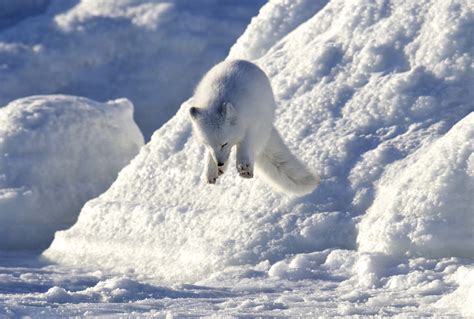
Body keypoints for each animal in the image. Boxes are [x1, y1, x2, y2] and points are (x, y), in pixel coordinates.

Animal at [188, 59, 318, 196]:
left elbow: (245, 145)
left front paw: (243, 166)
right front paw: (211, 171)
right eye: (207, 145)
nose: (220, 163)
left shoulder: (252, 125)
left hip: (263, 127)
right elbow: (210, 155)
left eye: (224, 143)